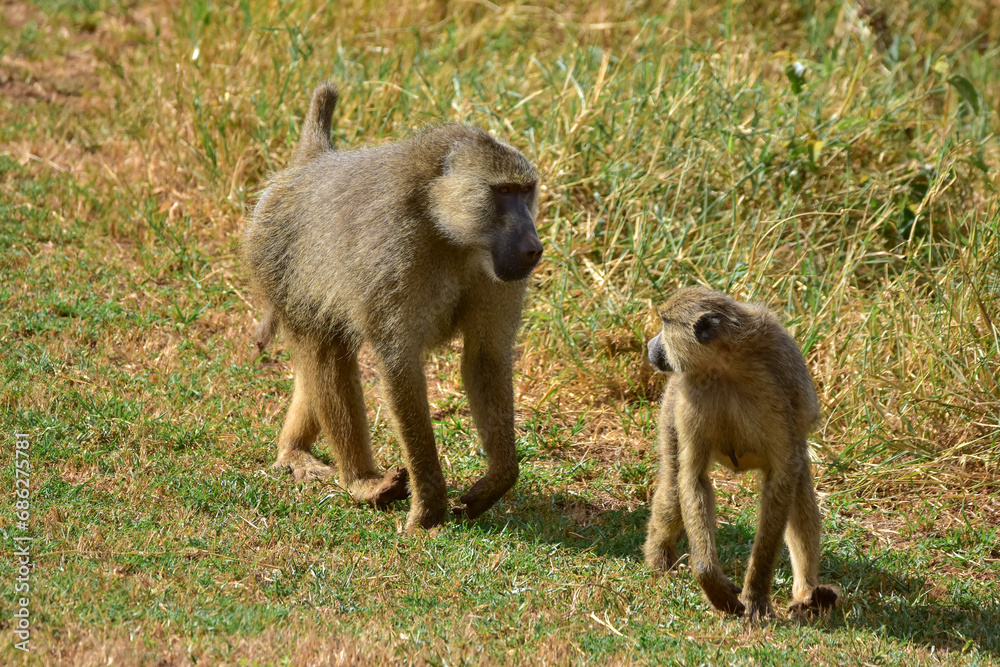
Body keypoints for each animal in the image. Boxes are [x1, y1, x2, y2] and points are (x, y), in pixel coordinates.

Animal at [242, 82, 543, 533]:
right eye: (503, 192)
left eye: (526, 191)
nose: (533, 247)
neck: (447, 229)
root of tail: (310, 164)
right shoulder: (396, 254)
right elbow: (400, 369)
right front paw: (428, 510)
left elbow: (485, 358)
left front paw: (496, 481)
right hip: (276, 262)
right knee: (325, 354)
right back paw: (361, 482)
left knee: (322, 361)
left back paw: (294, 450)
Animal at [643, 286, 839, 621]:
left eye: (664, 324)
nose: (650, 346)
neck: (726, 364)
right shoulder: (688, 397)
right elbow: (693, 477)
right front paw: (712, 582)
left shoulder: (777, 392)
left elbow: (782, 477)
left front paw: (755, 595)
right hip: (670, 413)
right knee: (672, 487)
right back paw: (659, 563)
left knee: (799, 491)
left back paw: (808, 596)